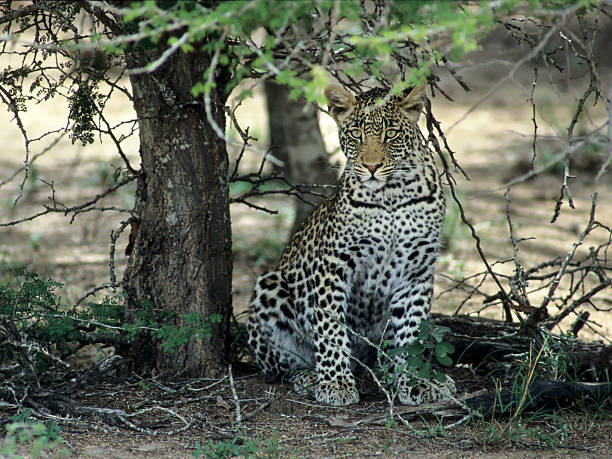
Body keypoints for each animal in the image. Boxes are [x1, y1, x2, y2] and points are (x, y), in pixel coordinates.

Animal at [245, 82, 454, 406]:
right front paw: (335, 383)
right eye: (356, 134)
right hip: (270, 287)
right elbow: (331, 327)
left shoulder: (416, 271)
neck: (392, 196)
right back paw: (309, 376)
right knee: (280, 367)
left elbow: (411, 333)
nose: (371, 166)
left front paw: (413, 380)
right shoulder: (333, 265)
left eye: (390, 133)